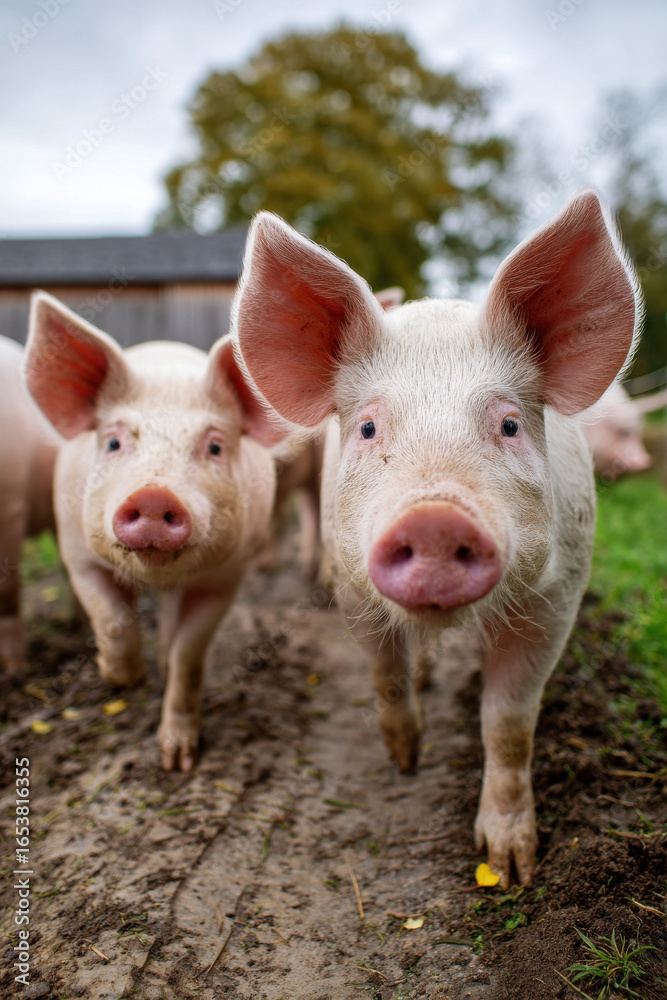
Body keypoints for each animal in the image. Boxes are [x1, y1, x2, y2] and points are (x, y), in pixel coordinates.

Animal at [24, 292, 283, 771]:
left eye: (215, 446)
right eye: (113, 442)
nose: (154, 495)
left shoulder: (228, 577)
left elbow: (189, 654)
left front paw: (177, 761)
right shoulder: (76, 555)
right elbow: (112, 621)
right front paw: (122, 680)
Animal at [232, 187, 640, 885]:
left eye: (509, 424)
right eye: (368, 428)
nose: (434, 517)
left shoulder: (557, 597)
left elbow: (509, 722)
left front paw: (510, 868)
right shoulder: (350, 585)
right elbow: (385, 675)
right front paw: (406, 761)